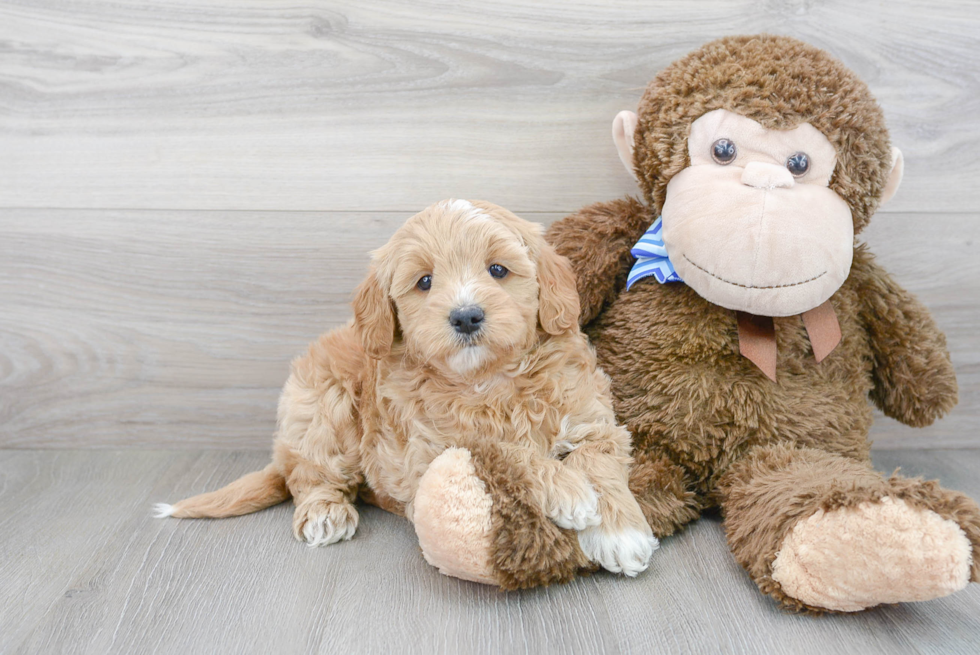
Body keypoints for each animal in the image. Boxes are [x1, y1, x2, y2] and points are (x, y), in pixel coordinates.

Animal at [155, 201, 660, 580]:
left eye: (498, 269)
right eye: (425, 282)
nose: (466, 316)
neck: (491, 380)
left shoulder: (594, 420)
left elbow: (600, 461)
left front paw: (621, 533)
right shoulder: (432, 451)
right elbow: (499, 449)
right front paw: (567, 489)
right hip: (322, 406)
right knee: (309, 474)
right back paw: (324, 512)